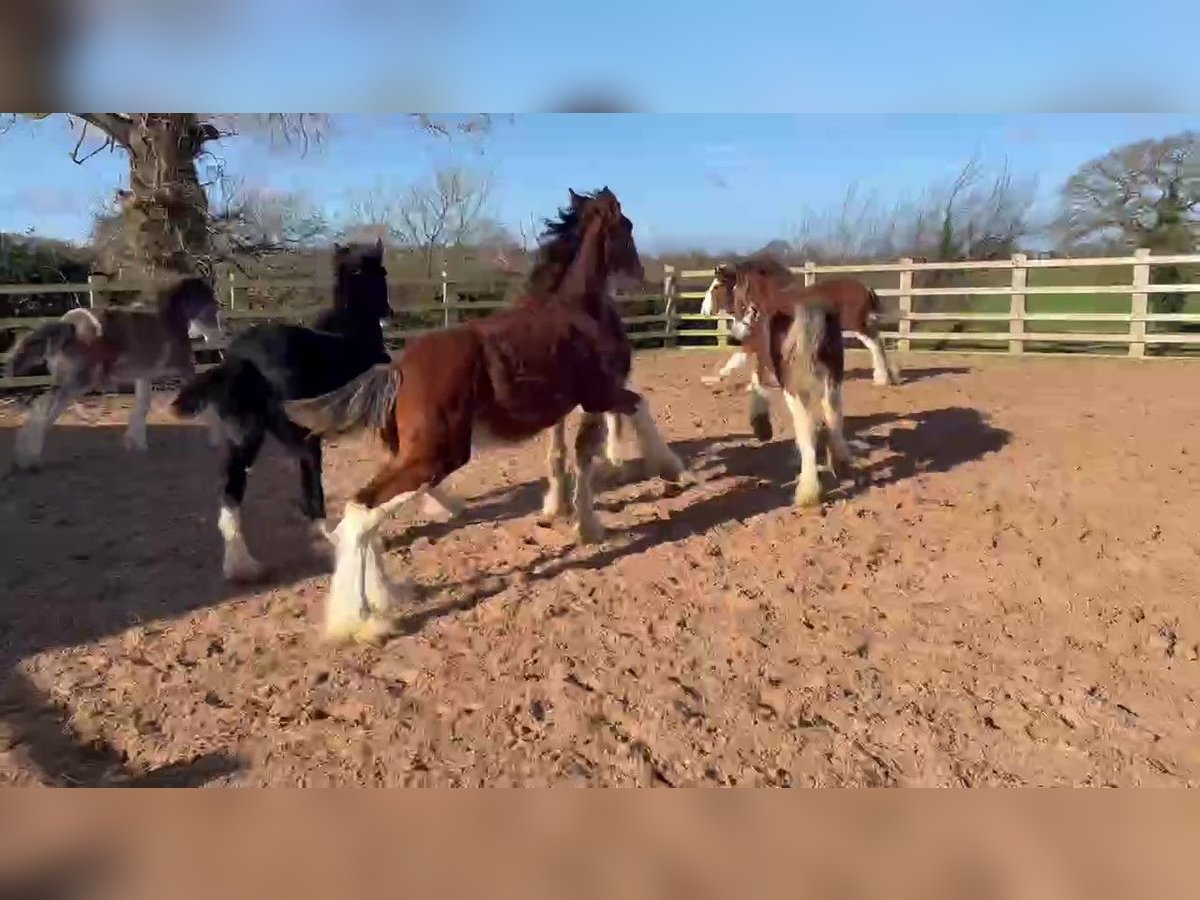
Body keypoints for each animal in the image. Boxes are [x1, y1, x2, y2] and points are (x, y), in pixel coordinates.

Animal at [171, 240, 460, 585]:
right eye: (382, 273)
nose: (389, 312)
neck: (354, 336)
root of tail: (241, 360)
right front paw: (442, 504)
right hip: (302, 440)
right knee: (309, 498)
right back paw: (340, 539)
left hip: (243, 439)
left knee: (231, 491)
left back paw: (242, 566)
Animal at [282, 187, 691, 643]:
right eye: (627, 226)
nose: (640, 273)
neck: (575, 310)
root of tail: (398, 369)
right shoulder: (601, 393)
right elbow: (637, 407)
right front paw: (670, 468)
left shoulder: (586, 401)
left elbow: (583, 452)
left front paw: (585, 522)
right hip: (437, 456)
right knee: (361, 511)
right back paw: (362, 622)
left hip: (412, 454)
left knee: (365, 516)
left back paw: (382, 600)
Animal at [696, 260, 902, 388]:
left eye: (716, 286)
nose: (704, 310)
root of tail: (865, 287)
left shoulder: (757, 339)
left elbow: (740, 359)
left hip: (856, 324)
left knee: (875, 343)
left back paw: (882, 378)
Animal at [700, 256, 859, 511]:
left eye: (716, 286)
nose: (703, 310)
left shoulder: (758, 351)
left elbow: (754, 380)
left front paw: (761, 424)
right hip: (833, 379)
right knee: (833, 418)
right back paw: (840, 463)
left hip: (793, 387)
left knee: (806, 430)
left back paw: (808, 491)